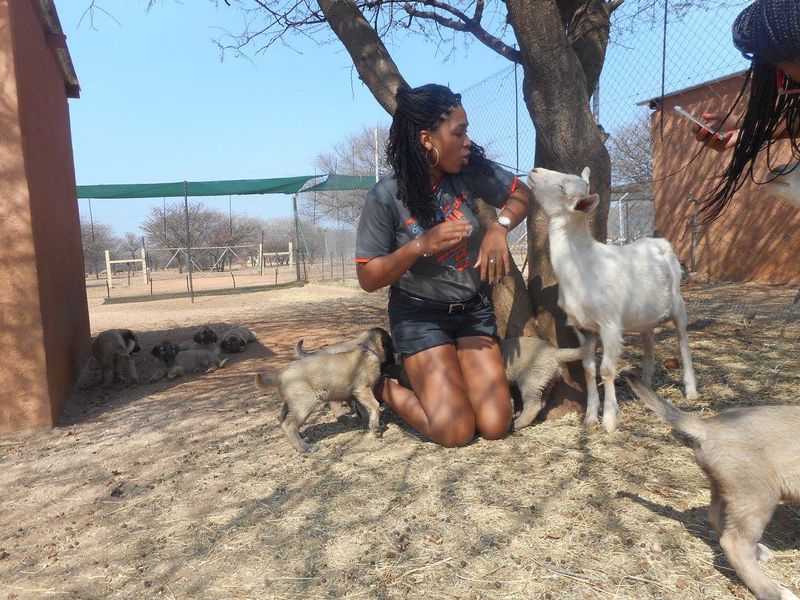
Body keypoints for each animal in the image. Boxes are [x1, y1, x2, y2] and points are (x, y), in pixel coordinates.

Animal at [256, 328, 394, 450]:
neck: (367, 350)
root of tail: (280, 374)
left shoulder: (357, 394)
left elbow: (363, 410)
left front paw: (369, 423)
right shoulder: (364, 389)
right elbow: (375, 405)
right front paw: (375, 427)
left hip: (291, 402)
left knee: (282, 418)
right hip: (305, 403)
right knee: (289, 425)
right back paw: (304, 448)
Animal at [528, 168, 696, 432]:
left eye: (563, 188)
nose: (534, 171)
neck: (581, 266)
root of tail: (660, 242)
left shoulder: (609, 324)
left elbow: (606, 370)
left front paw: (608, 420)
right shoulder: (582, 326)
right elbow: (588, 370)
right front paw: (589, 417)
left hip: (678, 303)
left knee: (683, 341)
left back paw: (690, 390)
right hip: (642, 314)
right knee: (649, 341)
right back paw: (645, 383)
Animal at [624, 372, 800, 596]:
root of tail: (707, 427)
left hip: (727, 489)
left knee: (716, 520)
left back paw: (759, 552)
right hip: (760, 494)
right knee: (735, 544)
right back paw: (775, 592)